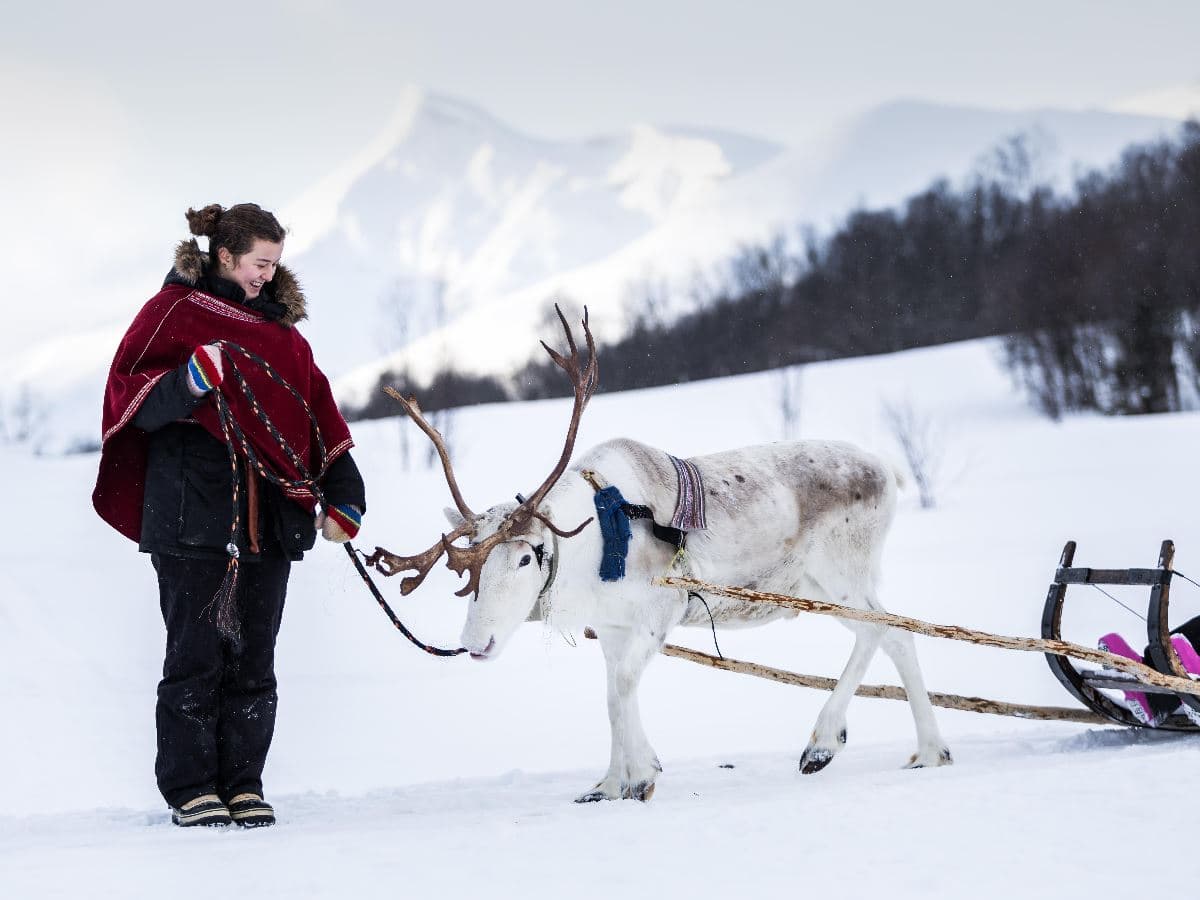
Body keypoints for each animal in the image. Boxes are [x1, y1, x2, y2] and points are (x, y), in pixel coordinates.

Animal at [367, 307, 952, 802]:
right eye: (468, 569)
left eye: (527, 558)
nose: (475, 643)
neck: (592, 551)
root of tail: (887, 469)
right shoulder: (612, 629)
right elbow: (611, 697)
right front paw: (608, 784)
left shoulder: (659, 611)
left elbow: (622, 690)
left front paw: (642, 775)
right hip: (812, 587)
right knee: (893, 634)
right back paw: (924, 750)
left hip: (842, 572)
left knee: (886, 628)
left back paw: (834, 744)